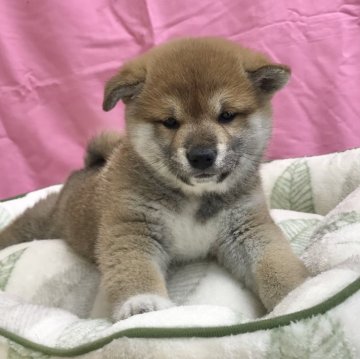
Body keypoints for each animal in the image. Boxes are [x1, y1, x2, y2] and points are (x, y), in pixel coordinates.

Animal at [0, 38, 310, 320]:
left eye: (226, 115)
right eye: (170, 122)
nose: (201, 156)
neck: (194, 197)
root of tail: (89, 166)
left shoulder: (247, 228)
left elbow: (275, 265)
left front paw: (298, 294)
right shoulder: (133, 228)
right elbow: (135, 270)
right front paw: (142, 305)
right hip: (41, 222)